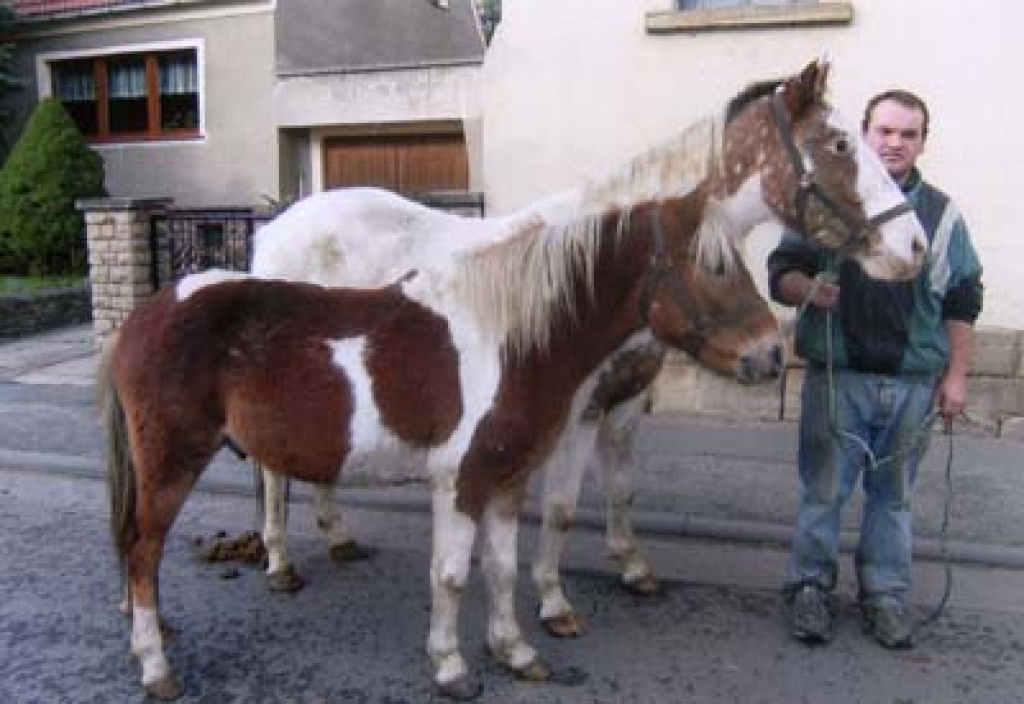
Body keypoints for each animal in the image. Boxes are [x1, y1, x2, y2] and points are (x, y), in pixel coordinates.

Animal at [101, 59, 927, 700]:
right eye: (840, 143)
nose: (915, 247)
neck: (519, 332)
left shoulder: (569, 434)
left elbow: (519, 552)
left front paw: (531, 638)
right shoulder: (495, 461)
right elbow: (482, 559)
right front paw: (485, 649)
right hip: (173, 459)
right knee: (162, 538)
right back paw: (193, 631)